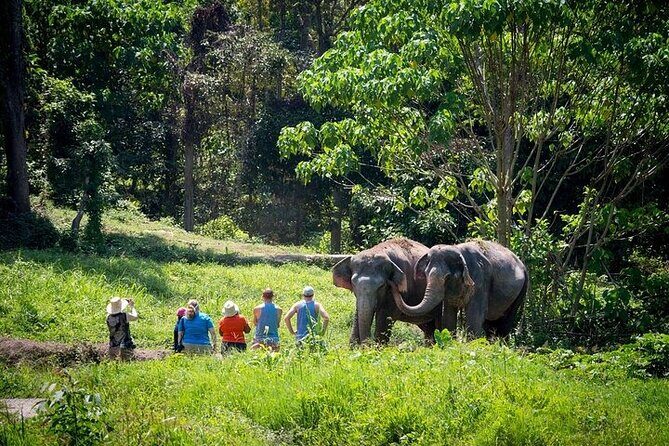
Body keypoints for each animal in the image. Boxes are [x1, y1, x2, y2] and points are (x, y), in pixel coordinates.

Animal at [391, 240, 528, 338]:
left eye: (447, 277)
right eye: (425, 274)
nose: (394, 283)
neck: (457, 249)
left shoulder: (481, 279)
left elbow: (475, 315)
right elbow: (448, 314)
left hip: (521, 290)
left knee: (505, 322)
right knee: (491, 325)